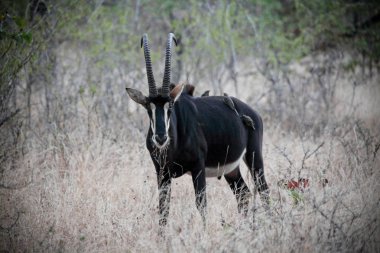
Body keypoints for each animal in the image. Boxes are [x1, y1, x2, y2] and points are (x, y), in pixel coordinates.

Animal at [126, 33, 268, 229]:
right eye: (148, 108)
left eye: (170, 106)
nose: (161, 138)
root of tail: (253, 113)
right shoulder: (162, 173)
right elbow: (163, 208)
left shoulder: (197, 167)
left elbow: (201, 203)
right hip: (231, 170)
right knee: (243, 194)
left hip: (254, 158)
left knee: (263, 190)